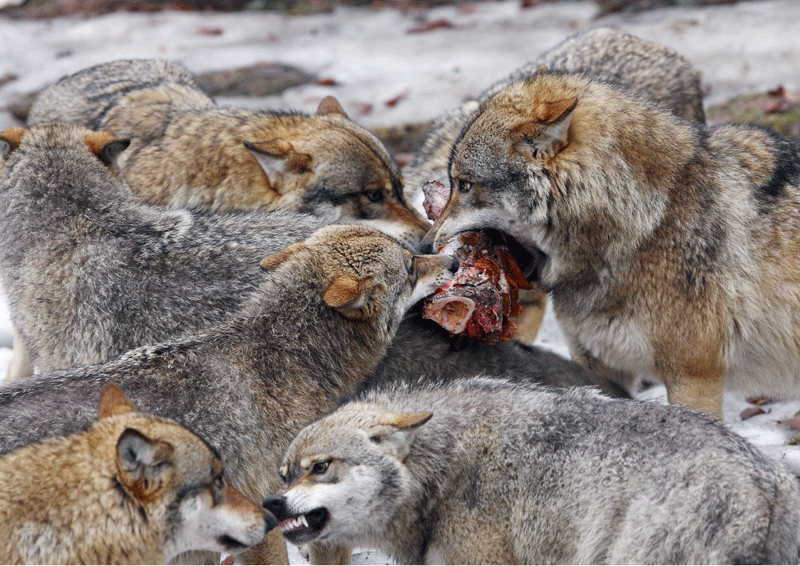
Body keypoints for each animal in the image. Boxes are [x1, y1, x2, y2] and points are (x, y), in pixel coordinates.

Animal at [428, 70, 800, 422]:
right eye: (452, 183)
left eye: (464, 185)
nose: (425, 244)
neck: (646, 223)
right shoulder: (596, 364)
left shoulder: (694, 376)